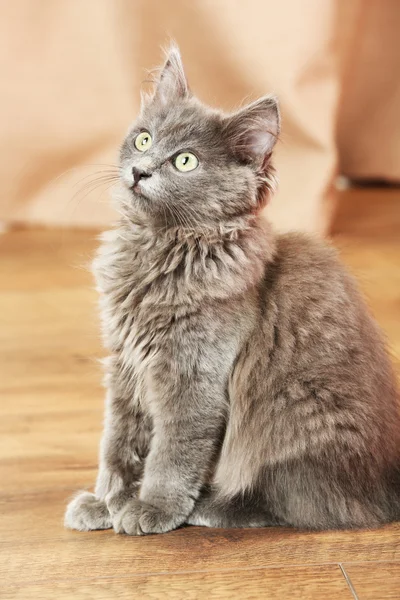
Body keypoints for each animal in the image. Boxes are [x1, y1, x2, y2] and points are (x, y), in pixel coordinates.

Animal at [65, 47, 400, 536]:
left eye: (185, 161)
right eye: (144, 139)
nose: (139, 171)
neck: (161, 247)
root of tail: (389, 480)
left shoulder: (194, 376)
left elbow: (172, 453)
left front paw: (152, 508)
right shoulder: (126, 365)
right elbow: (119, 443)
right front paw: (107, 501)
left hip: (291, 418)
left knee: (304, 503)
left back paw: (211, 506)